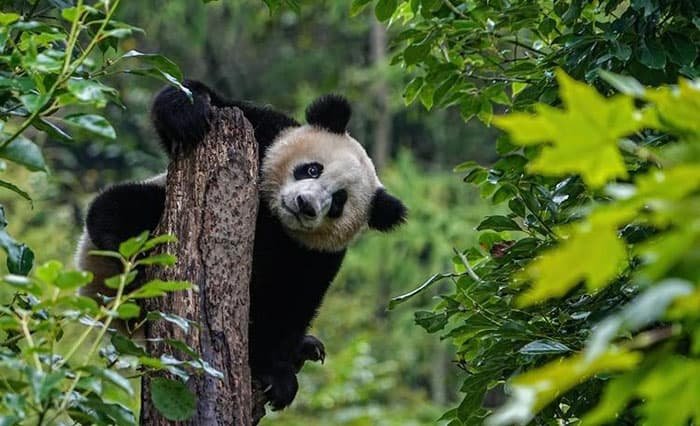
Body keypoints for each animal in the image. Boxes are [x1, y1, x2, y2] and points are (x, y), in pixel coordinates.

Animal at [75, 80, 407, 410]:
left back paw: (306, 347)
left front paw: (277, 377)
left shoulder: (313, 256)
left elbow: (289, 305)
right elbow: (201, 107)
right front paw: (190, 111)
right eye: (312, 169)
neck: (274, 219)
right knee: (116, 208)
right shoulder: (265, 133)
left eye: (338, 202)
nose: (305, 204)